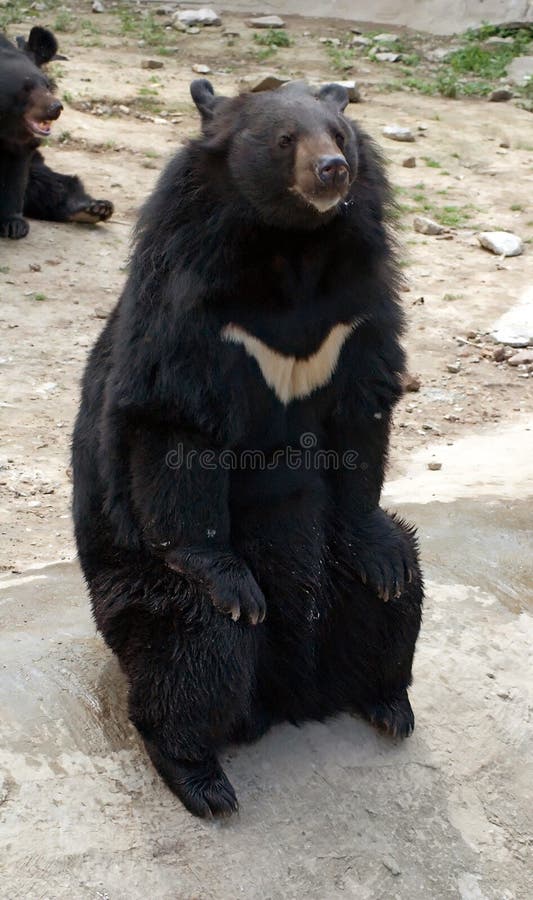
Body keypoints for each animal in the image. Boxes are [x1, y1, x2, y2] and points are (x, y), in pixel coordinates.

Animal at [0, 25, 112, 239]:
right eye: (26, 88)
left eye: (47, 86)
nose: (55, 107)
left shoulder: (21, 142)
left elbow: (17, 172)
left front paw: (13, 224)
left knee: (47, 183)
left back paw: (94, 209)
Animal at [72, 81, 424, 820]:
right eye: (285, 140)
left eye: (339, 135)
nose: (332, 172)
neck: (290, 249)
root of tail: (290, 699)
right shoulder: (193, 303)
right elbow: (178, 422)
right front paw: (230, 580)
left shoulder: (355, 308)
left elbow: (362, 407)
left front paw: (376, 553)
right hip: (141, 591)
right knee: (193, 652)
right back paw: (202, 779)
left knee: (397, 601)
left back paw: (386, 698)